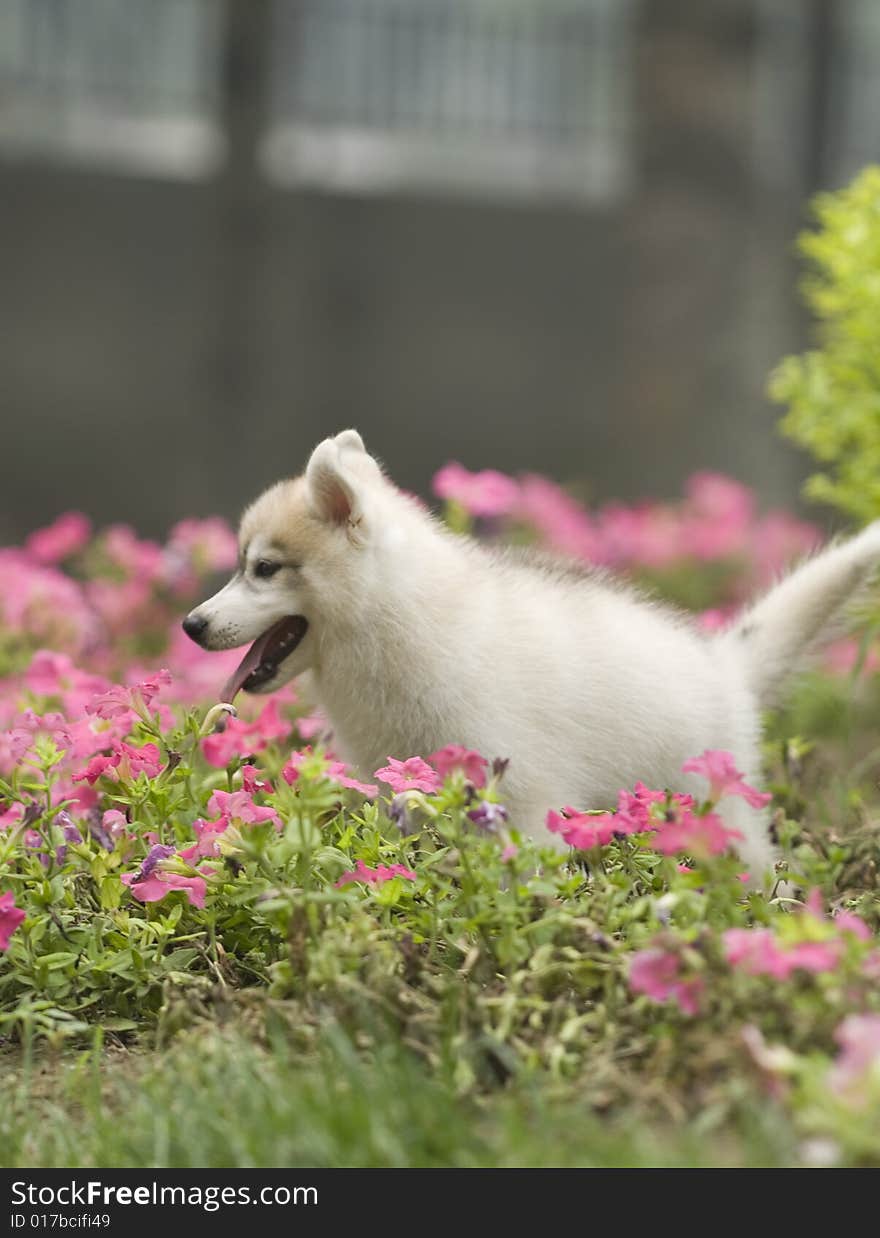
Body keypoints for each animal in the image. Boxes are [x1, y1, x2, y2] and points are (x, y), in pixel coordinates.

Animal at [184, 430, 880, 876]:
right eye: (244, 564)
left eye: (264, 569)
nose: (192, 624)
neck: (398, 622)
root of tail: (723, 662)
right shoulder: (407, 789)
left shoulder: (523, 801)